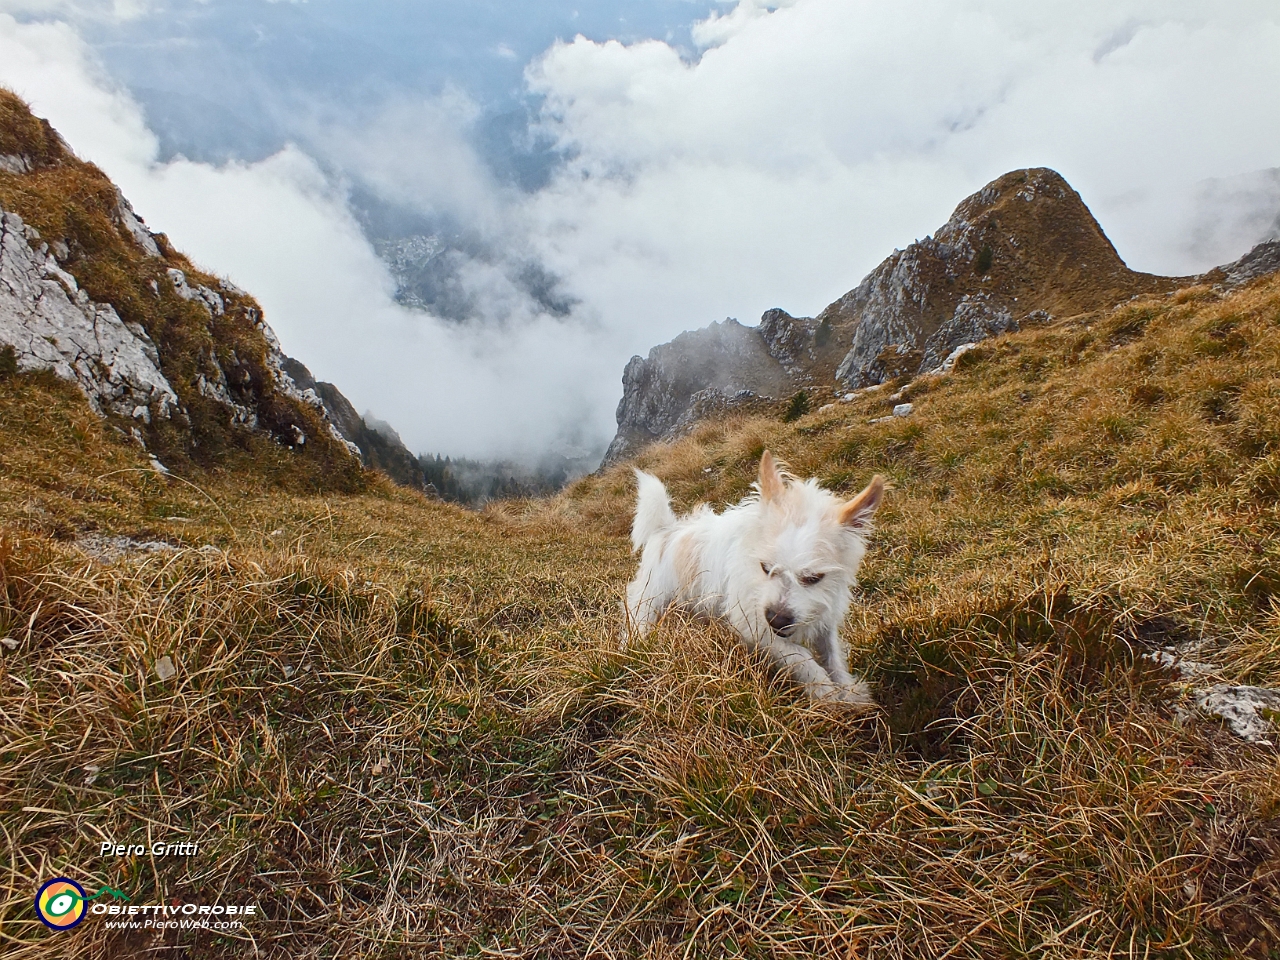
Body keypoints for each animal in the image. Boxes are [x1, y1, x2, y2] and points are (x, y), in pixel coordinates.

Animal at [627, 448, 885, 711]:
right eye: (765, 567)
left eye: (814, 578)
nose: (777, 619)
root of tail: (666, 530)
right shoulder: (754, 625)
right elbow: (800, 656)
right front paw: (824, 692)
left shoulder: (825, 617)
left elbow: (832, 654)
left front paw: (849, 692)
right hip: (649, 601)